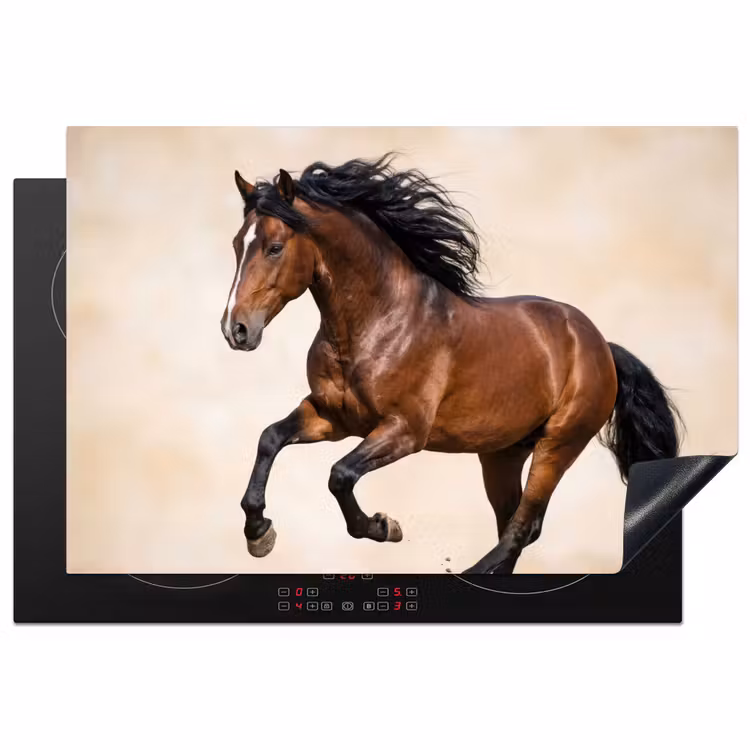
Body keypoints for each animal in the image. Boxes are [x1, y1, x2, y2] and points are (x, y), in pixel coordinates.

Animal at [220, 154, 682, 574]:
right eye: (237, 244)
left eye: (275, 247)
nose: (235, 329)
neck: (378, 322)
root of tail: (600, 344)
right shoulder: (333, 417)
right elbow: (270, 438)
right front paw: (259, 533)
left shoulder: (405, 430)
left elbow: (340, 474)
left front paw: (384, 526)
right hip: (502, 453)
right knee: (515, 524)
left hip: (559, 444)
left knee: (522, 526)